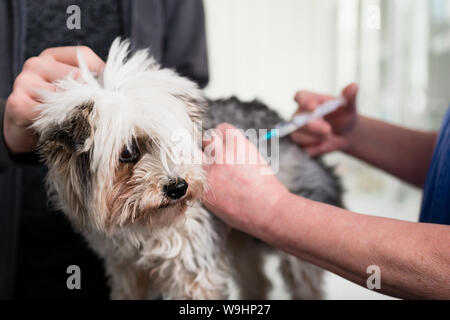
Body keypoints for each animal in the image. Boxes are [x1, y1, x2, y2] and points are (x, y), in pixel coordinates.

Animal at [32, 38, 342, 298]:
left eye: (177, 141)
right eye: (128, 152)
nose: (178, 187)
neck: (141, 224)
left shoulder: (193, 268)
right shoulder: (126, 269)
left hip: (297, 249)